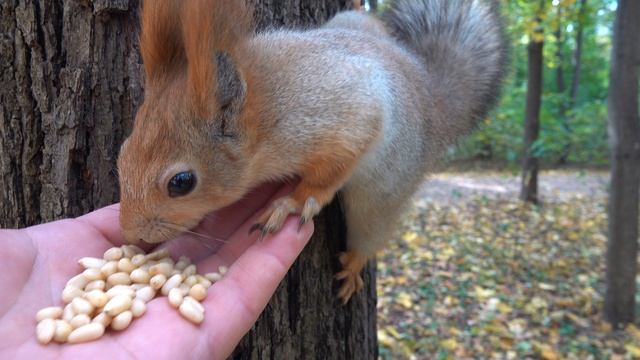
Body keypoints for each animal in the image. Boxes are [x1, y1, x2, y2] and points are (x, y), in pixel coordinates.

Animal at [115, 0, 504, 304]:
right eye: (122, 153)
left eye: (181, 182)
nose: (131, 235)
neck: (265, 114)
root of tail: (430, 96)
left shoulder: (345, 117)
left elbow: (333, 169)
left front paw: (294, 201)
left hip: (388, 188)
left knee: (372, 227)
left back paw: (354, 263)